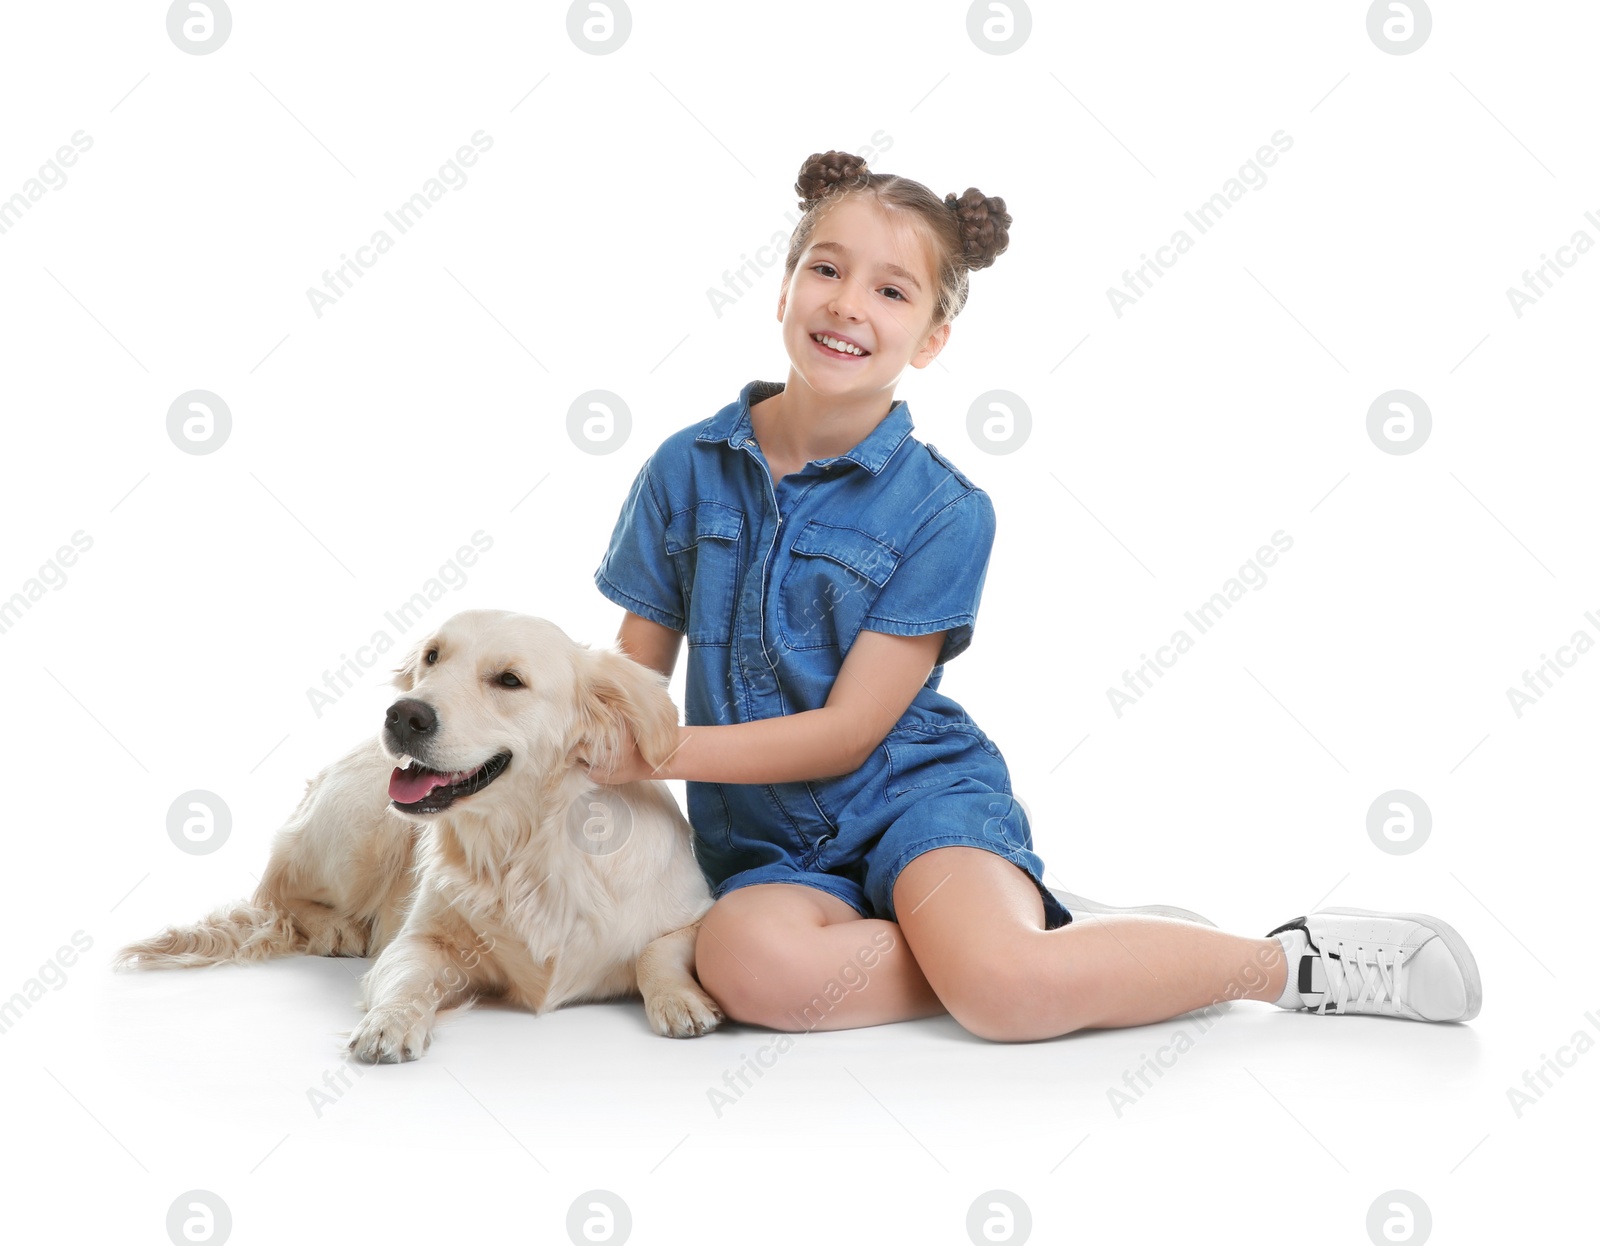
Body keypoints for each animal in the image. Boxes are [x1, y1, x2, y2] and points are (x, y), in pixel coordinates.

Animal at [118, 607, 726, 1055]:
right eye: (433, 656)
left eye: (509, 680)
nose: (402, 715)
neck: (525, 846)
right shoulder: (418, 940)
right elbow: (405, 976)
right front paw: (388, 1023)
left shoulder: (695, 912)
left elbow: (659, 949)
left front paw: (679, 1001)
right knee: (275, 892)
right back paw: (335, 928)